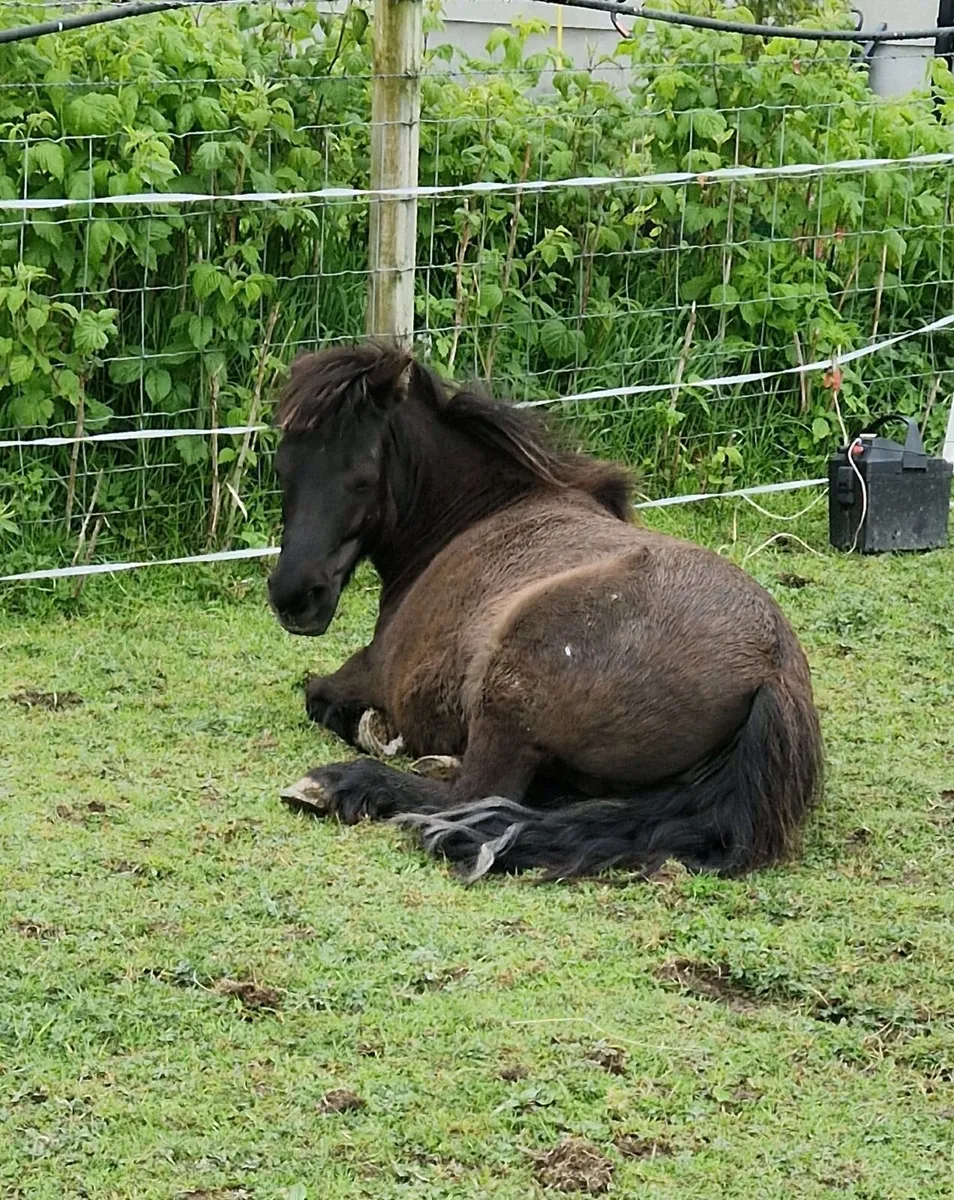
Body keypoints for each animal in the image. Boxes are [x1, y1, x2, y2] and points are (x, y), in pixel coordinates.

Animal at [267, 342, 823, 881]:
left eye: (362, 476)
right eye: (284, 466)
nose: (294, 596)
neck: (476, 516)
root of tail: (770, 670)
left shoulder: (370, 672)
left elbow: (319, 697)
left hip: (509, 699)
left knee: (471, 794)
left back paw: (342, 783)